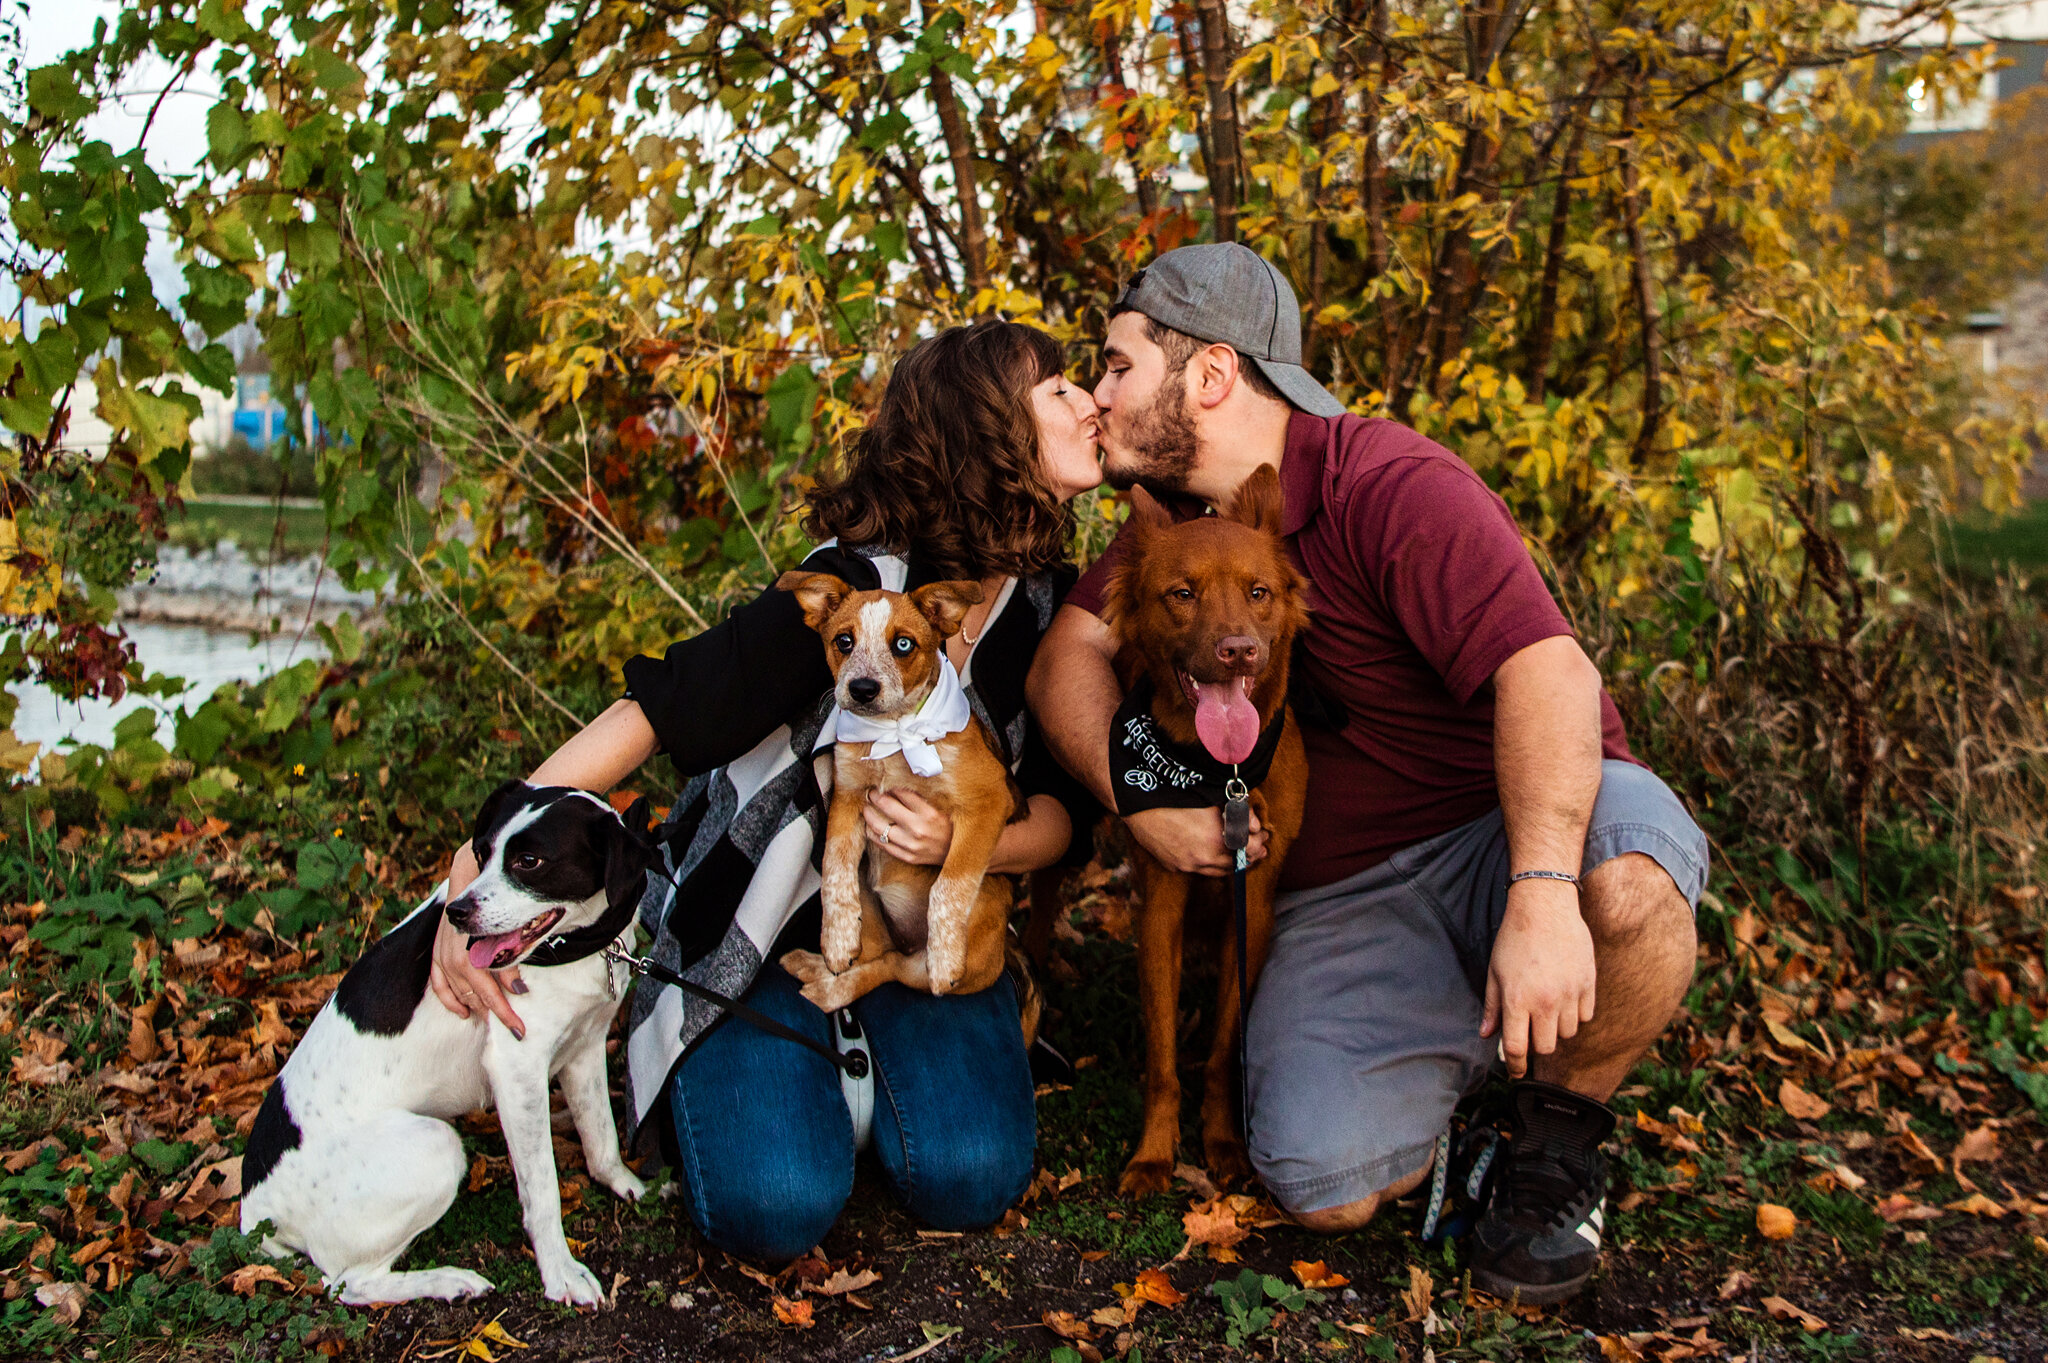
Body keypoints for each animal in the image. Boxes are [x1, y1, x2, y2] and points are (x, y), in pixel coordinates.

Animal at [238, 785, 655, 1309]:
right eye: (481, 852)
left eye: (530, 861)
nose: (457, 914)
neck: (572, 948)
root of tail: (254, 1214)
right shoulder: (516, 1072)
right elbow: (543, 1188)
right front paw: (560, 1272)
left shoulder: (584, 1046)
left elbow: (602, 1137)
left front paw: (626, 1185)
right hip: (436, 1150)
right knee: (349, 1284)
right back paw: (450, 1281)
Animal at [770, 568, 1019, 1006]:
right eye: (844, 641)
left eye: (903, 644)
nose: (862, 689)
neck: (894, 733)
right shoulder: (848, 795)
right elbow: (834, 869)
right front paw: (836, 939)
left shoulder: (989, 799)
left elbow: (949, 885)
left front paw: (945, 958)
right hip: (872, 910)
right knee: (875, 954)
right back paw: (819, 966)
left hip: (968, 932)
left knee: (891, 968)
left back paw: (830, 991)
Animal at [1097, 464, 1302, 1186]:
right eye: (1182, 593)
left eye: (1259, 592)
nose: (1238, 651)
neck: (1223, 774)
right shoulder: (1160, 904)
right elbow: (1162, 1059)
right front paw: (1155, 1153)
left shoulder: (1256, 905)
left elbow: (1221, 1055)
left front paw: (1223, 1144)